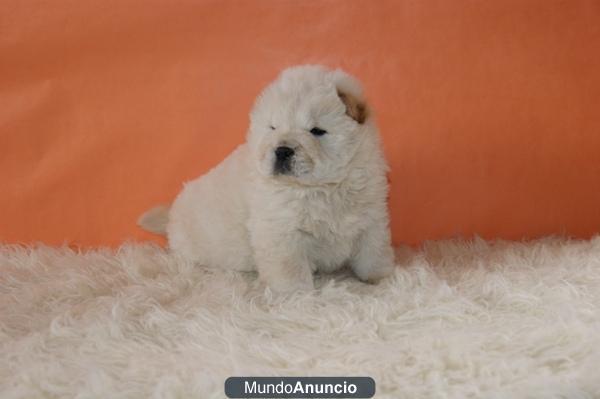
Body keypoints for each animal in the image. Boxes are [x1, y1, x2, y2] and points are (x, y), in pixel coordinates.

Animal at [139, 65, 396, 290]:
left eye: (316, 131)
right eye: (273, 128)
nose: (282, 150)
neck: (324, 189)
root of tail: (171, 215)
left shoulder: (372, 216)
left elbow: (374, 252)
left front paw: (382, 279)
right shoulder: (281, 230)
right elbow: (290, 269)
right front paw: (297, 295)